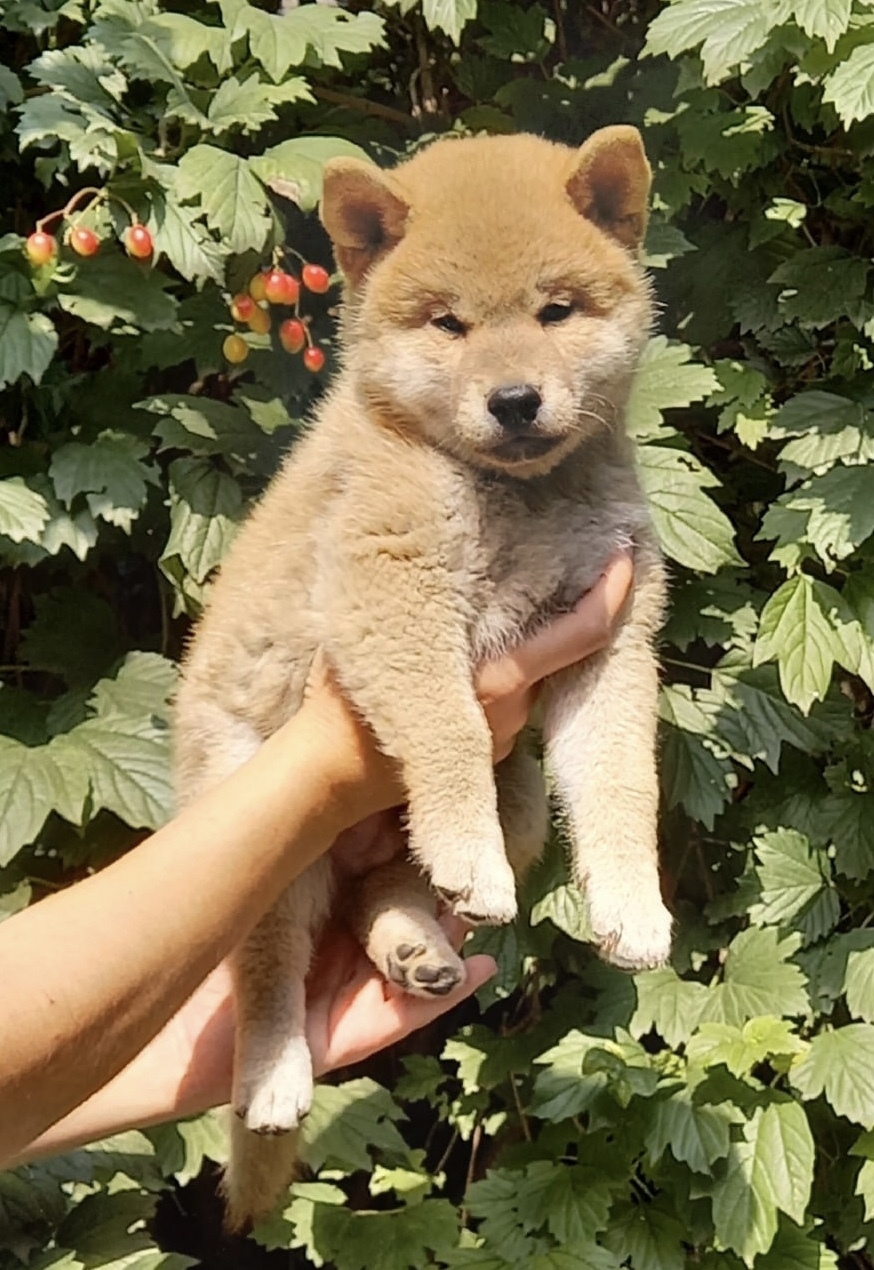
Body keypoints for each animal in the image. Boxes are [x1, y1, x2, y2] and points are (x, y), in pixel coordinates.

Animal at [174, 126, 670, 1229]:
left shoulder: (609, 642)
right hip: (259, 843)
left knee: (388, 884)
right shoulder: (386, 591)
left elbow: (622, 783)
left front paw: (632, 901)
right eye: (449, 323)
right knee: (270, 968)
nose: (515, 399)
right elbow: (446, 726)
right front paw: (466, 846)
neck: (515, 499)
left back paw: (412, 940)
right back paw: (272, 1073)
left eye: (555, 311)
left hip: (518, 799)